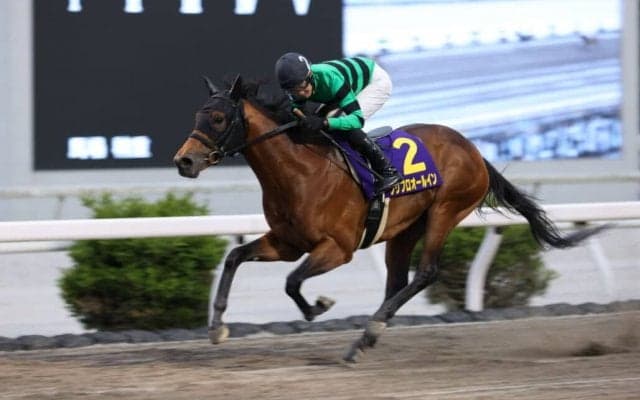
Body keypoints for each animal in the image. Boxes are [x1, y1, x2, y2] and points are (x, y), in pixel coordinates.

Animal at [173, 75, 604, 362]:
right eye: (198, 114)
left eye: (217, 118)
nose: (184, 161)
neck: (300, 171)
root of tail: (474, 150)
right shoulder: (286, 242)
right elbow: (235, 258)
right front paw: (217, 328)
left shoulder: (338, 248)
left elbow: (292, 281)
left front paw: (318, 306)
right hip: (404, 230)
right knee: (397, 280)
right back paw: (369, 334)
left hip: (445, 211)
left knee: (426, 272)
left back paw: (366, 335)